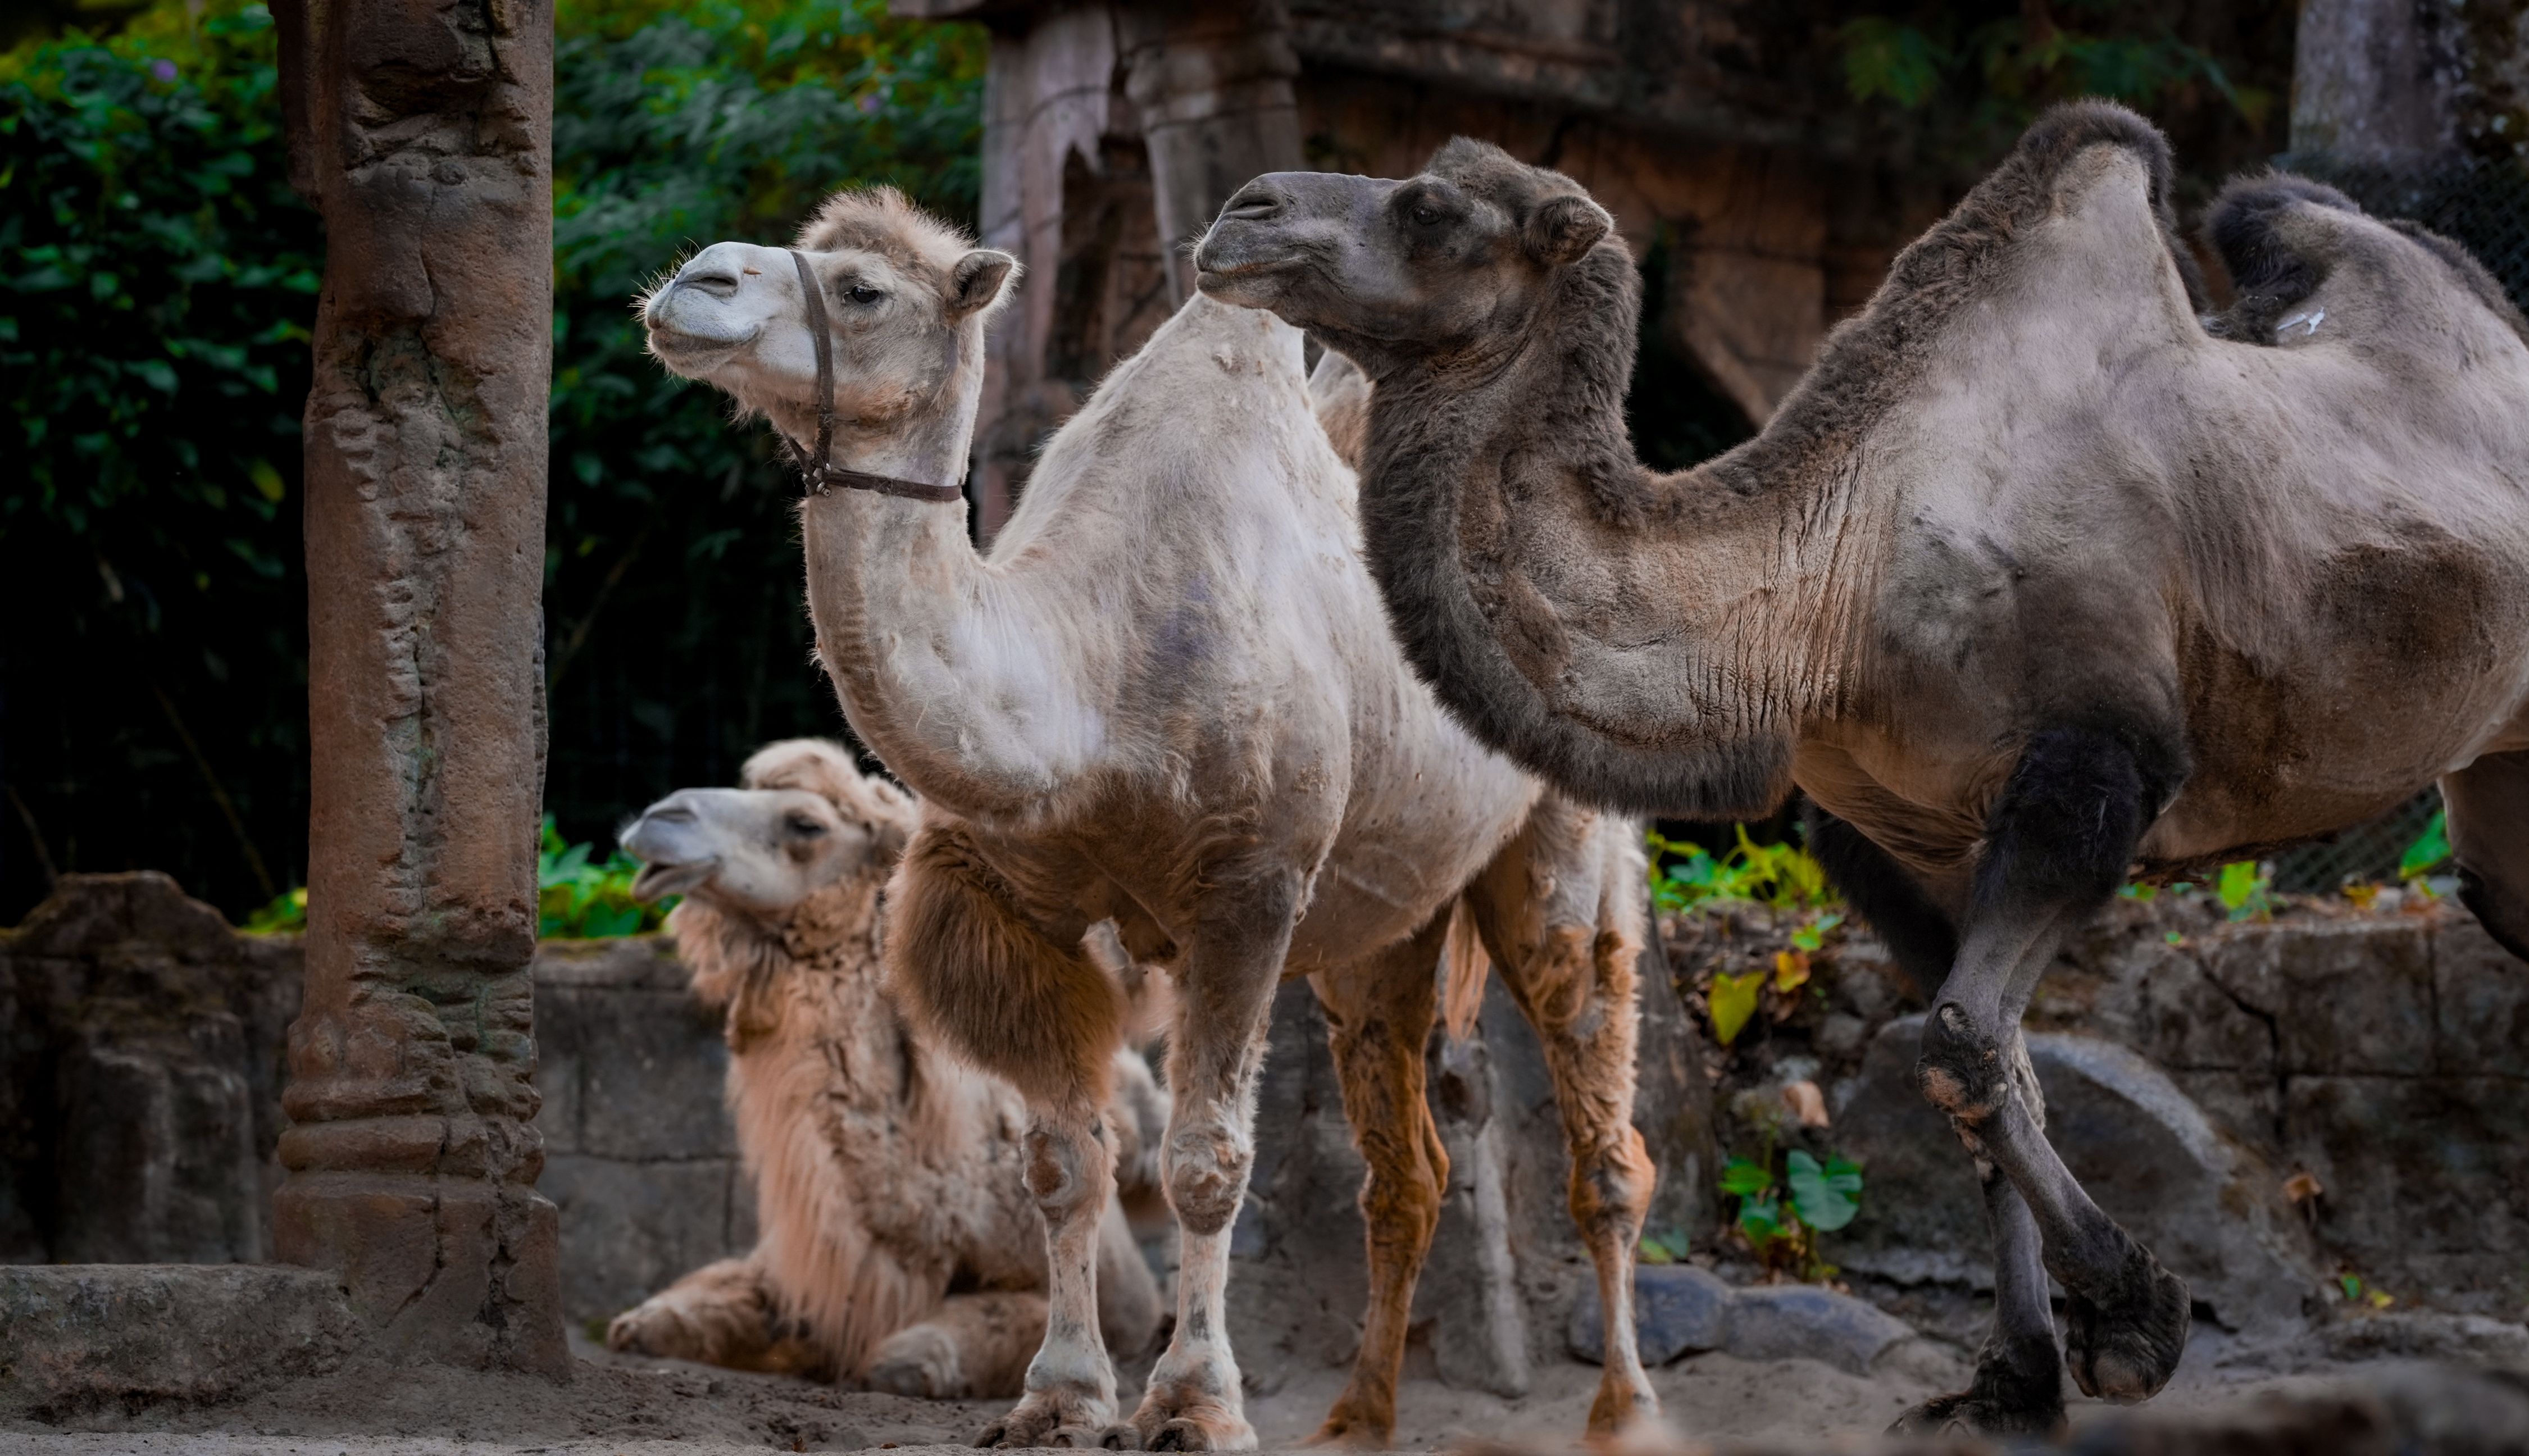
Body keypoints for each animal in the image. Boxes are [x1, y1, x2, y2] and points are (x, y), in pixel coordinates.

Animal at [1193, 101, 2529, 1437]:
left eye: (1431, 209)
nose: (1238, 213)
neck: (1826, 592)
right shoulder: (1895, 835)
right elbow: (1994, 1066)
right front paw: (2011, 1381)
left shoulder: (2093, 772)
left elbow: (1960, 1043)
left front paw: (2133, 1323)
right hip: (2491, 776)